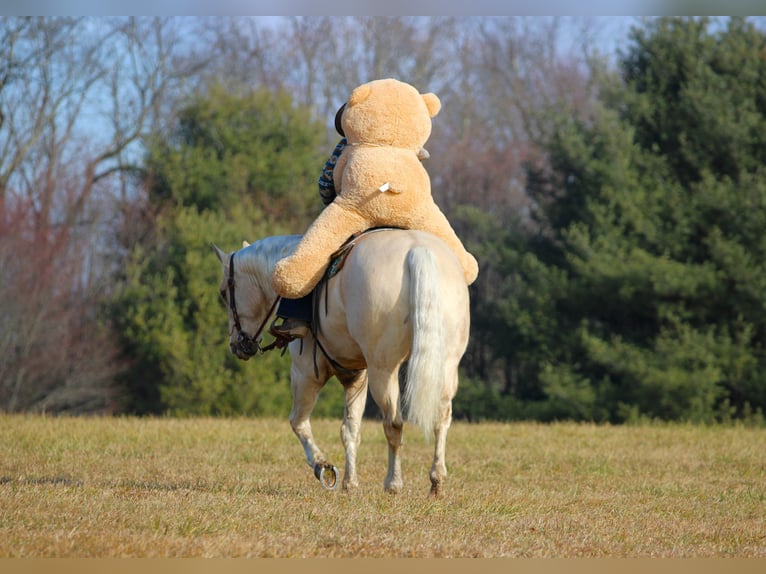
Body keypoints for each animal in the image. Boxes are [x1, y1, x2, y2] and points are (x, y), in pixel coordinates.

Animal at [212, 229, 471, 495]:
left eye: (224, 292)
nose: (237, 344)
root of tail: (417, 250)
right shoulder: (356, 376)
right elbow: (350, 430)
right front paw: (350, 483)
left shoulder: (305, 373)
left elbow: (298, 422)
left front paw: (323, 466)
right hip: (445, 366)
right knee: (440, 419)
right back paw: (436, 481)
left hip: (383, 370)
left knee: (394, 424)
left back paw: (393, 483)